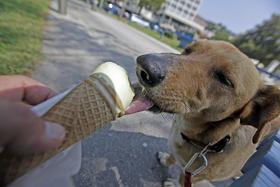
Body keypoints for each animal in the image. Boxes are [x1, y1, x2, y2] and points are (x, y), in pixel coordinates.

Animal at [130, 39, 280, 186]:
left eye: (225, 79)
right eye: (188, 50)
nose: (143, 67)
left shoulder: (198, 175)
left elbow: (182, 179)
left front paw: (173, 182)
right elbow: (173, 156)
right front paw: (166, 160)